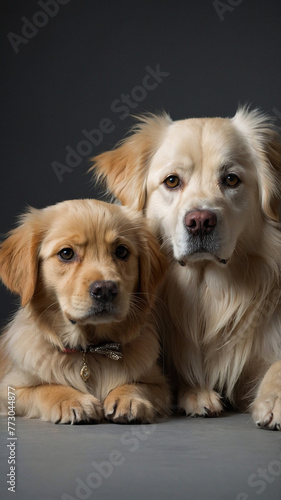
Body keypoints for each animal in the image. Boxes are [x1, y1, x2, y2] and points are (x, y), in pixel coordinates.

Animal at [0, 197, 168, 424]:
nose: (105, 289)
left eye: (121, 251)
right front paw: (72, 399)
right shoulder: (10, 388)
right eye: (66, 253)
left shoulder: (160, 385)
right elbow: (44, 388)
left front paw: (128, 397)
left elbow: (139, 385)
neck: (90, 352)